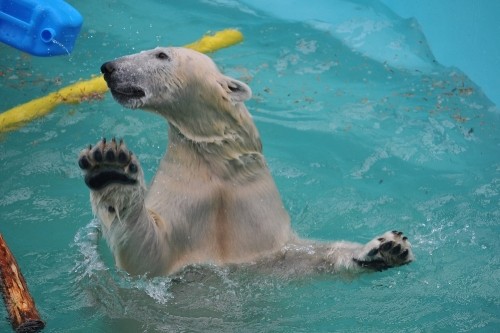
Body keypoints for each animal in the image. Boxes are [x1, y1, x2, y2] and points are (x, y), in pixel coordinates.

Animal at [79, 46, 414, 274]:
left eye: (161, 54)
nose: (109, 67)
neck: (215, 164)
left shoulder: (256, 215)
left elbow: (302, 256)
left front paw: (388, 247)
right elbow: (148, 256)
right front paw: (110, 168)